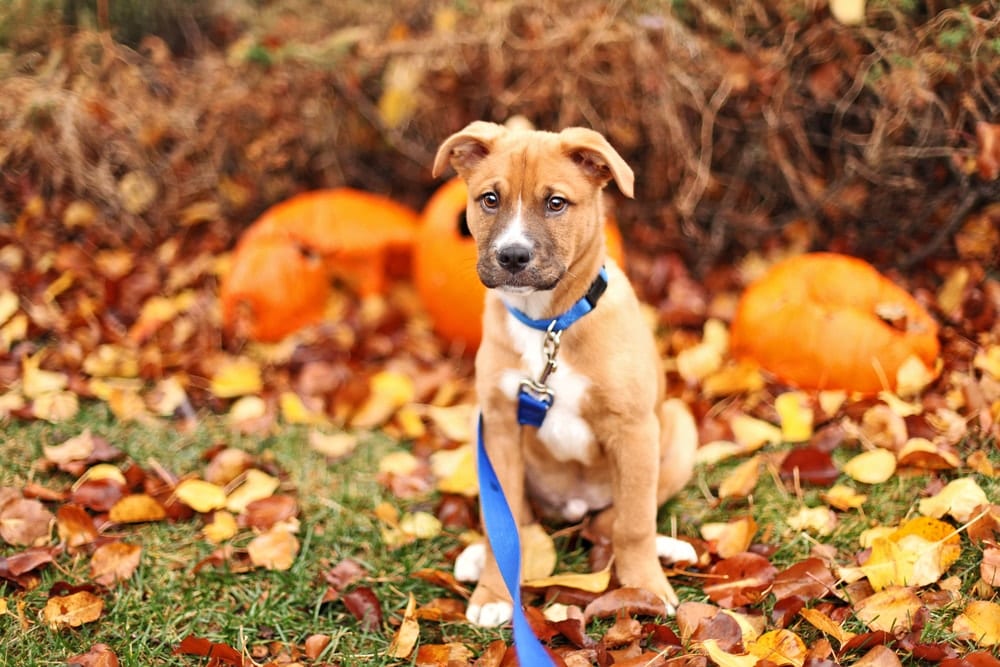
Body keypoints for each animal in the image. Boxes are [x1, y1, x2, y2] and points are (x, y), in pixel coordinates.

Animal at [434, 122, 700, 628]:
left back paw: (666, 549)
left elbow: (634, 522)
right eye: (489, 199)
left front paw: (645, 587)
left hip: (678, 427)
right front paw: (493, 592)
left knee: (615, 518)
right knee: (525, 520)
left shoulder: (634, 430)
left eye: (556, 203)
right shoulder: (500, 426)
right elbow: (504, 525)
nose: (512, 256)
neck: (549, 326)